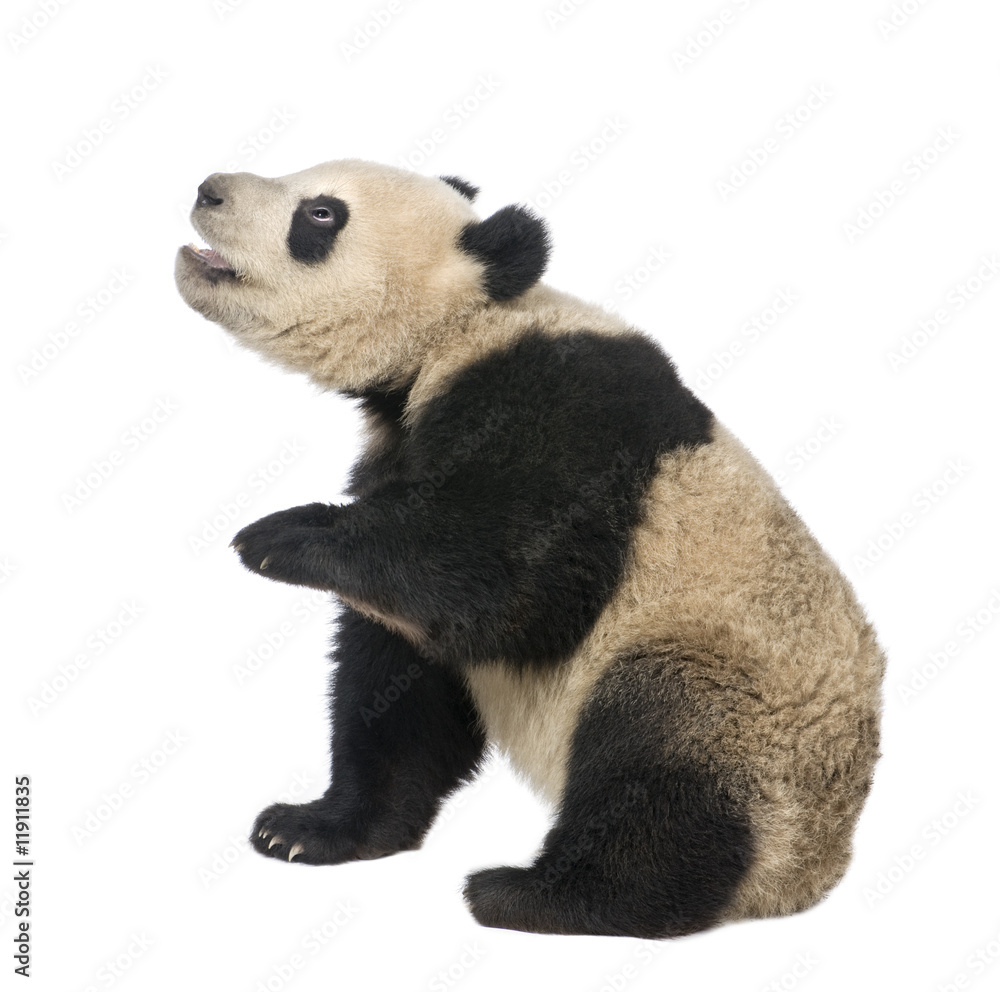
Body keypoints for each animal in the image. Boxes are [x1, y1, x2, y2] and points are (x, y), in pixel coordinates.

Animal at [175, 158, 885, 939]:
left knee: (658, 757)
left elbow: (509, 579)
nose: (209, 189)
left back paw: (543, 894)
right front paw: (309, 828)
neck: (466, 325)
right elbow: (398, 674)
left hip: (739, 701)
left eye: (321, 214)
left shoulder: (567, 408)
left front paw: (281, 536)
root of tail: (810, 874)